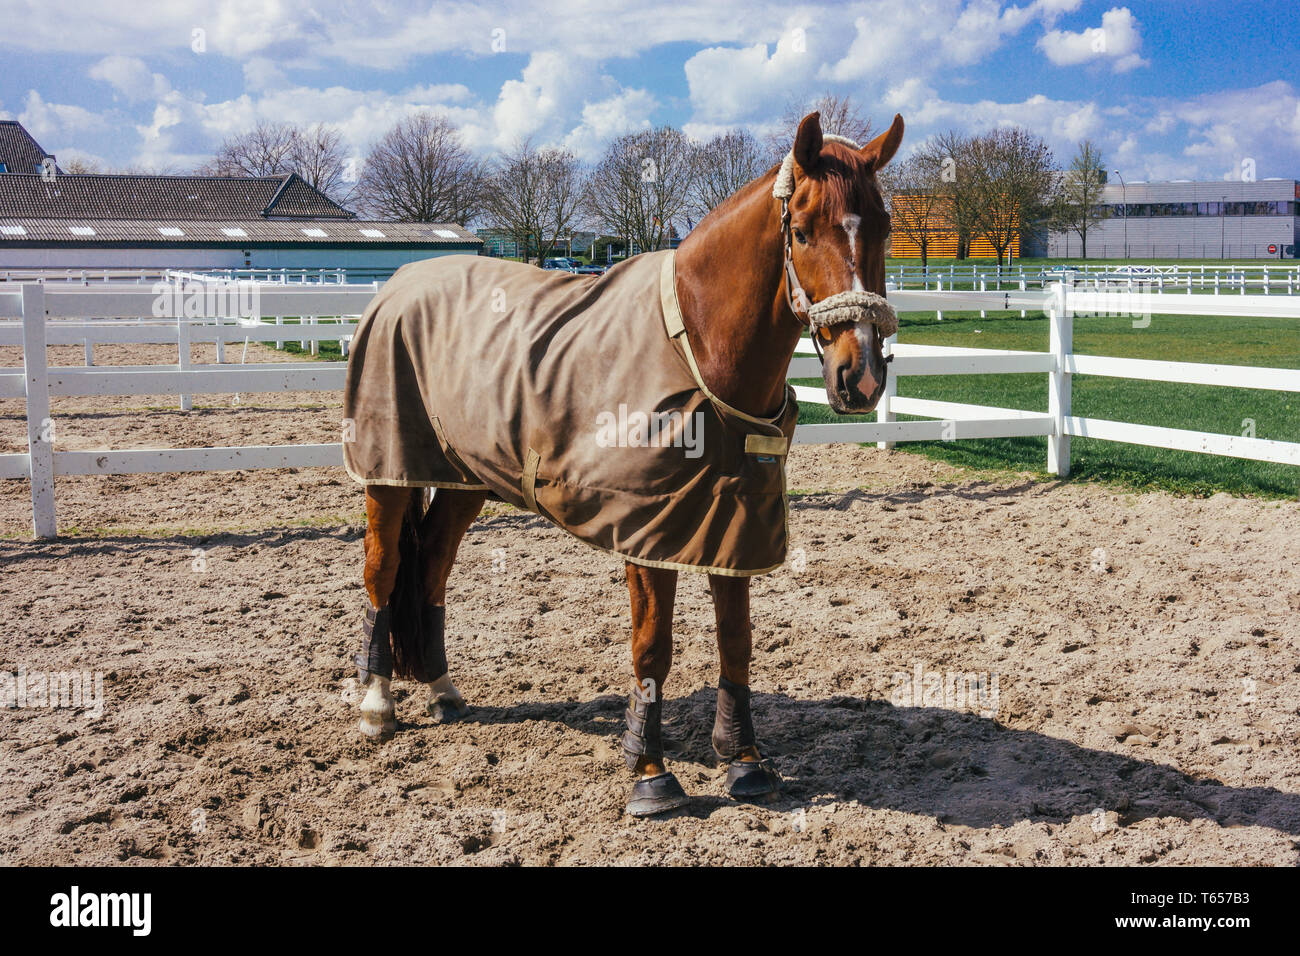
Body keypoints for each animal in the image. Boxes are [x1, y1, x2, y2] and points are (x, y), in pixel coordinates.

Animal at [345, 110, 904, 816]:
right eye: (801, 231)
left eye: (884, 227)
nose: (860, 376)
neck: (696, 343)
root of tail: (399, 283)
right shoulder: (648, 535)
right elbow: (652, 648)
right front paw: (650, 774)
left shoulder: (732, 527)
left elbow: (737, 641)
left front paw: (744, 762)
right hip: (387, 474)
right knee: (384, 570)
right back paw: (376, 705)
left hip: (463, 479)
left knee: (434, 569)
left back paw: (443, 690)